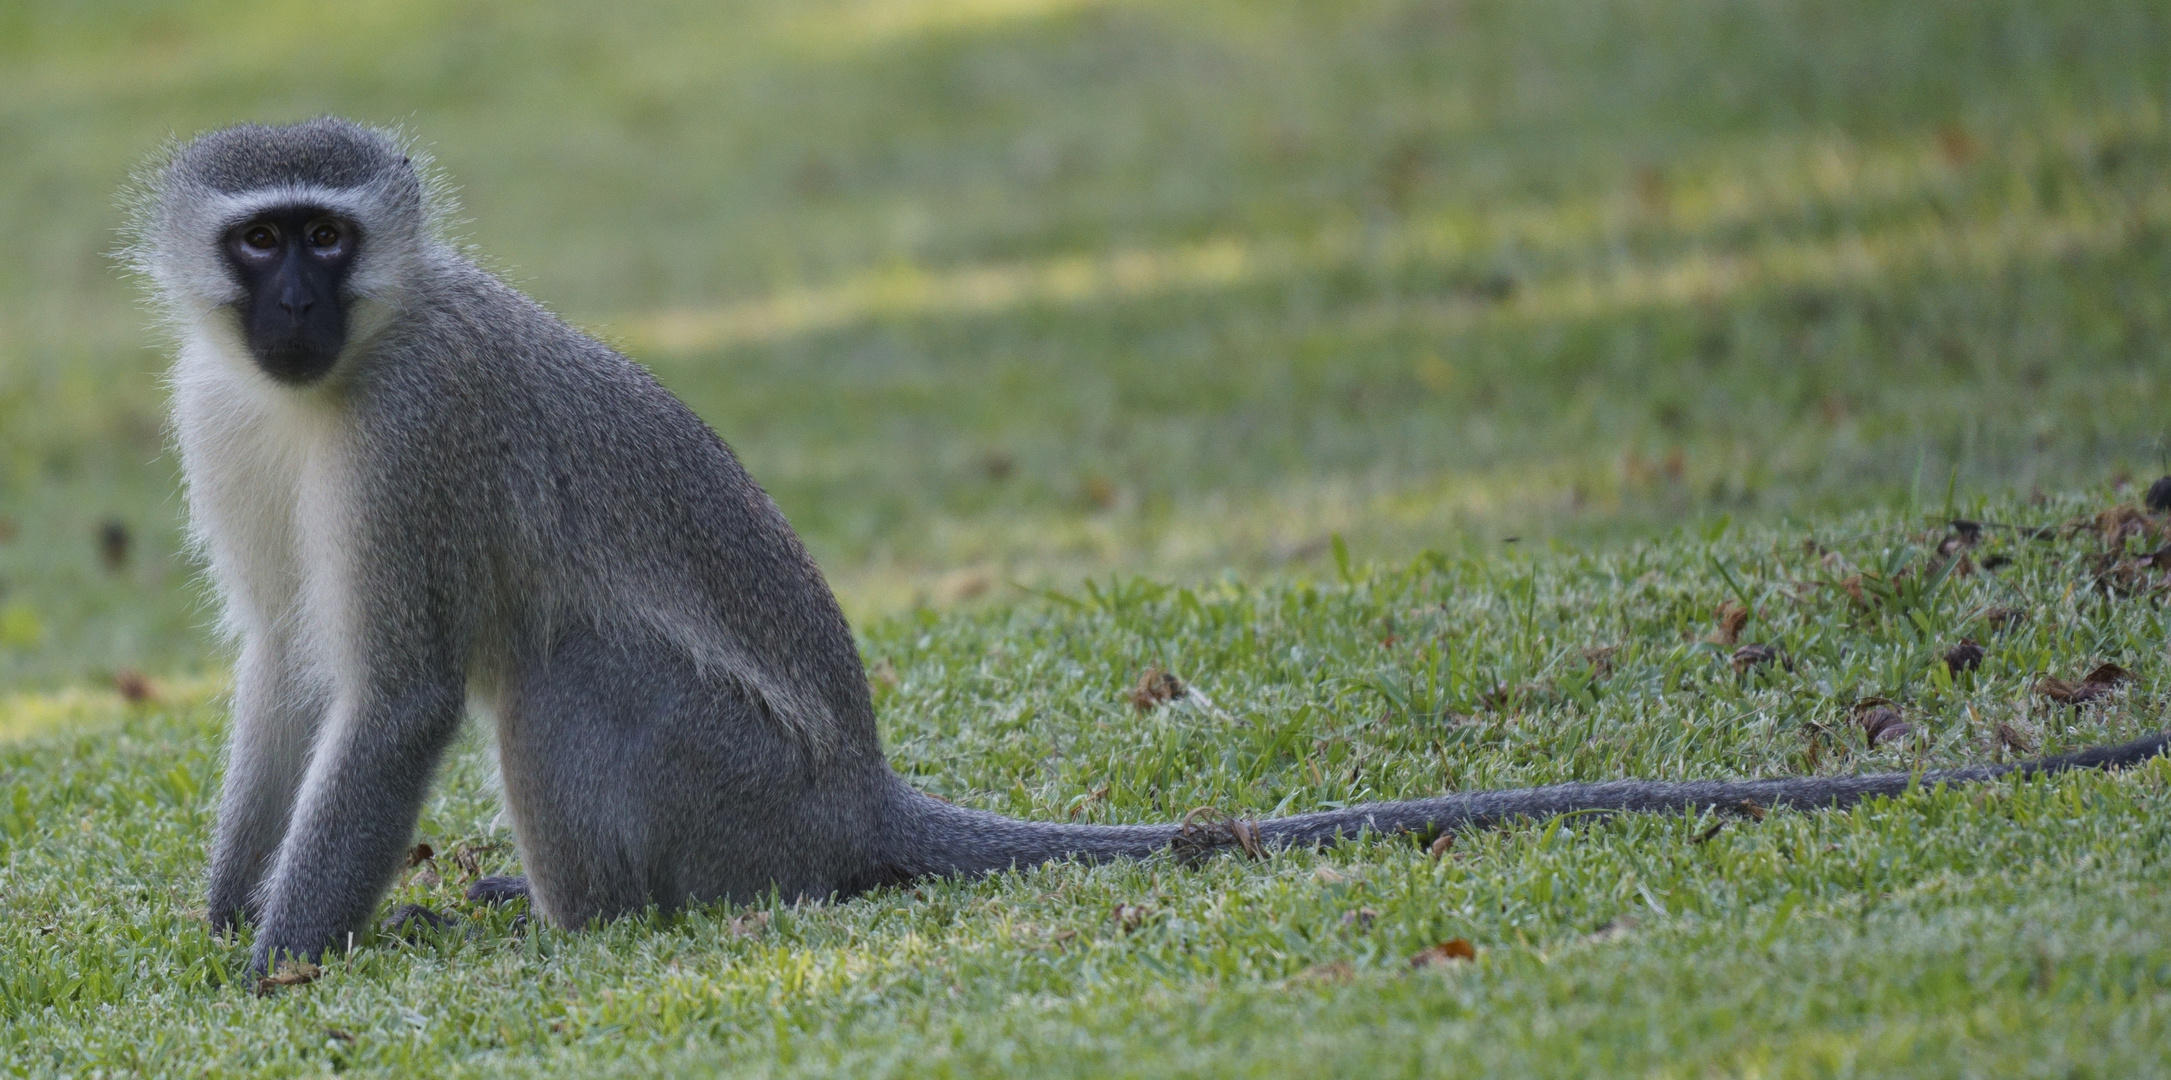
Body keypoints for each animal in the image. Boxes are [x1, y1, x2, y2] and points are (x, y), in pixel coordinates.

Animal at [131, 117, 2171, 969]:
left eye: (326, 235)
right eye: (260, 242)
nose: (296, 301)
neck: (328, 378)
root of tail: (862, 796)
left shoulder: (417, 428)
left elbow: (397, 694)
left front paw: (272, 974)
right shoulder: (219, 409)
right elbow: (296, 671)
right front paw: (230, 917)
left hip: (733, 785)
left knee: (550, 667)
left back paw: (579, 922)